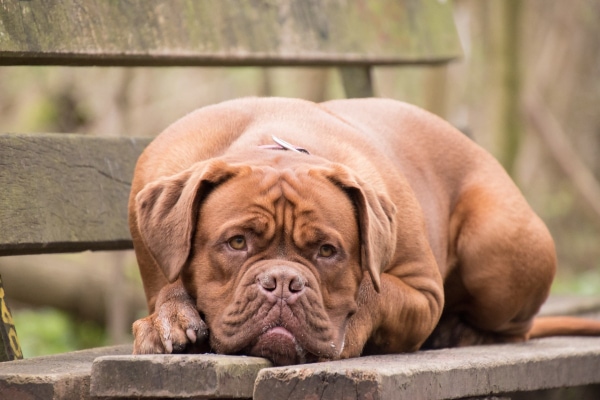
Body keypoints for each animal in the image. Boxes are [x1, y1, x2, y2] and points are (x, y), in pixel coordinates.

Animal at [127, 97, 600, 366]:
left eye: (327, 251)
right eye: (237, 243)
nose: (282, 282)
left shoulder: (423, 292)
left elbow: (375, 291)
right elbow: (169, 283)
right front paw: (169, 319)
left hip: (496, 252)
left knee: (515, 324)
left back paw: (462, 333)